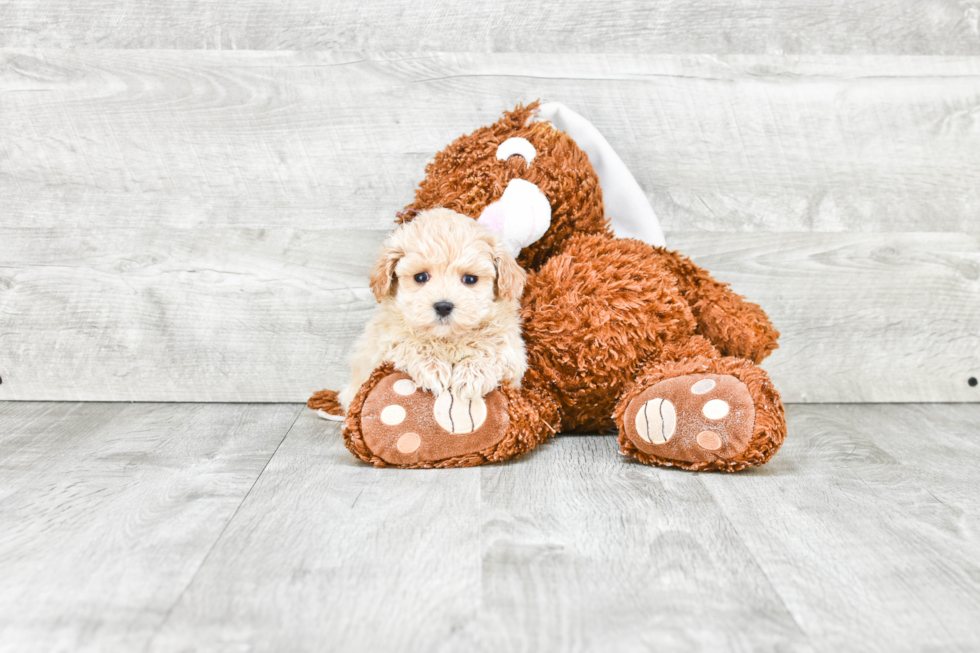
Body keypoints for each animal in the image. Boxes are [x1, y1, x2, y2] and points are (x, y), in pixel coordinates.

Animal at [340, 208, 532, 412]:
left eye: (470, 279)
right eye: (420, 277)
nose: (443, 306)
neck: (447, 339)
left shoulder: (513, 355)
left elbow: (494, 352)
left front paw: (472, 374)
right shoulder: (380, 348)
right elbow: (408, 342)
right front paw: (433, 367)